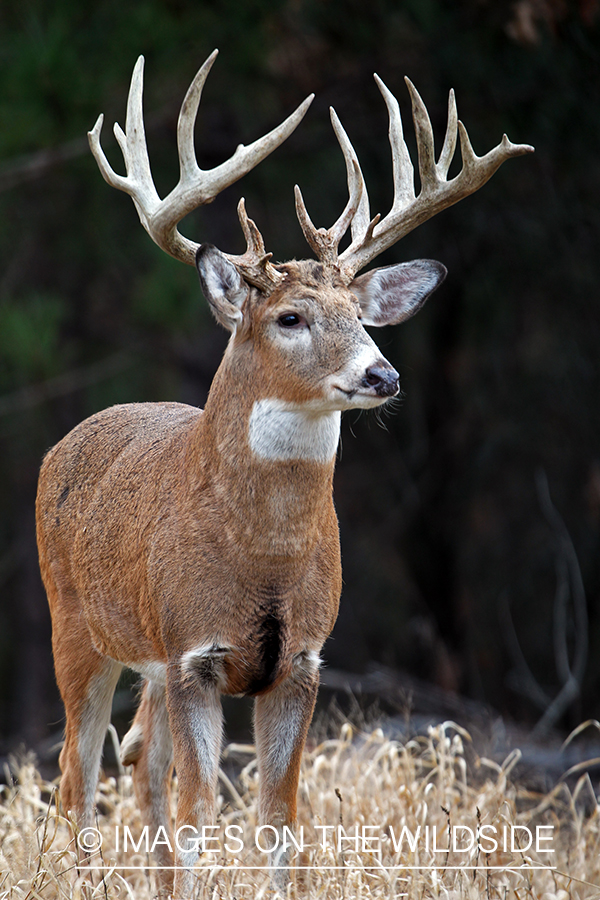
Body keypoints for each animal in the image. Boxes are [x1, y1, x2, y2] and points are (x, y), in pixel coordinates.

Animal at [35, 51, 532, 900]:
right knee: (79, 773)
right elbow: (201, 812)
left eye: (362, 315)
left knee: (139, 763)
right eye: (290, 318)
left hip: (147, 662)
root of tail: (59, 447)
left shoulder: (302, 661)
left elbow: (279, 820)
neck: (262, 555)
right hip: (75, 624)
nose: (382, 374)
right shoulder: (193, 654)